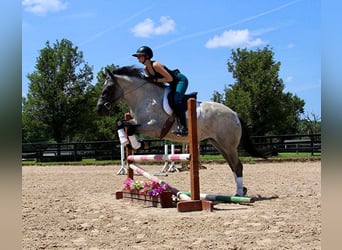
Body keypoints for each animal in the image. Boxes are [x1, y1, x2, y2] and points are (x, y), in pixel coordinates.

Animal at [96, 65, 268, 196]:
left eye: (108, 88)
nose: (99, 109)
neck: (144, 98)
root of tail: (234, 114)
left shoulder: (153, 127)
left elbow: (130, 128)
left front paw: (137, 144)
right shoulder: (136, 121)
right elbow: (121, 123)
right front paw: (130, 143)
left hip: (228, 145)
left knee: (237, 166)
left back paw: (239, 193)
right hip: (219, 144)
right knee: (233, 165)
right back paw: (241, 190)